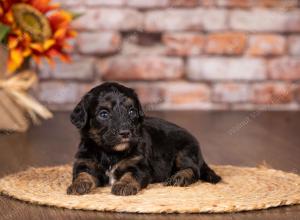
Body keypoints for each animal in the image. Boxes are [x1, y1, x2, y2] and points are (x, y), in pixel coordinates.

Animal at [67, 82, 220, 196]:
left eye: (132, 111)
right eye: (103, 114)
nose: (125, 133)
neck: (110, 152)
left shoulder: (139, 165)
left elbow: (131, 174)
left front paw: (124, 185)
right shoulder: (85, 161)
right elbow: (83, 173)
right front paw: (77, 185)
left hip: (185, 151)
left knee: (193, 169)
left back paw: (180, 177)